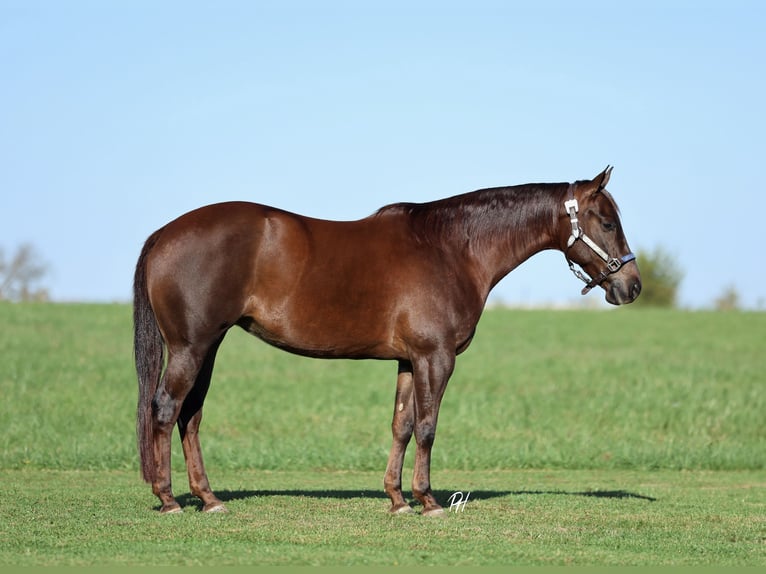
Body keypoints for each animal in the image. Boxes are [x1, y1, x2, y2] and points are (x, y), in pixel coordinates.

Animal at [133, 166, 641, 516]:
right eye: (606, 222)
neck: (451, 248)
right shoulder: (436, 357)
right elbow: (428, 426)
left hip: (209, 346)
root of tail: (163, 234)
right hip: (191, 347)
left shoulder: (409, 360)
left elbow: (401, 425)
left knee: (190, 416)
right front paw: (428, 501)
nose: (632, 286)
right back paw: (169, 500)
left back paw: (208, 498)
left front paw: (397, 500)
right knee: (166, 409)